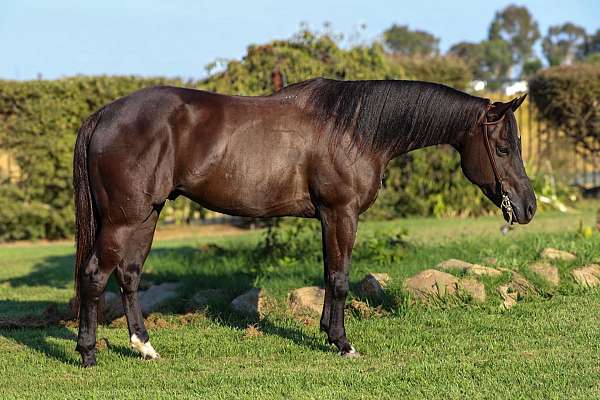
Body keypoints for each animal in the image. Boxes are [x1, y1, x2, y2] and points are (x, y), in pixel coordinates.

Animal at [72, 77, 536, 366]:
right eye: (502, 148)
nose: (527, 207)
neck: (353, 129)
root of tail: (104, 115)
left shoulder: (327, 217)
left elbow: (330, 273)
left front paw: (327, 332)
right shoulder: (341, 212)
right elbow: (341, 278)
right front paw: (343, 343)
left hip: (145, 216)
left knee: (129, 276)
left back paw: (145, 347)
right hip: (123, 220)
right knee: (95, 275)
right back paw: (88, 353)